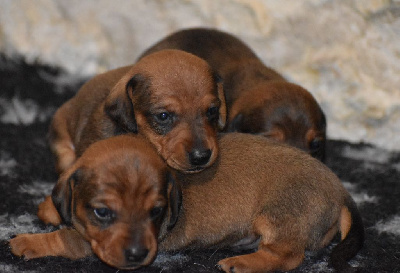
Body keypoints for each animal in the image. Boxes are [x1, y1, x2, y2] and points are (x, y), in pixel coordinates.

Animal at [9, 134, 181, 268]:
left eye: (156, 210)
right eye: (103, 212)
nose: (137, 254)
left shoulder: (87, 242)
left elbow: (63, 237)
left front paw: (27, 242)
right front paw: (49, 208)